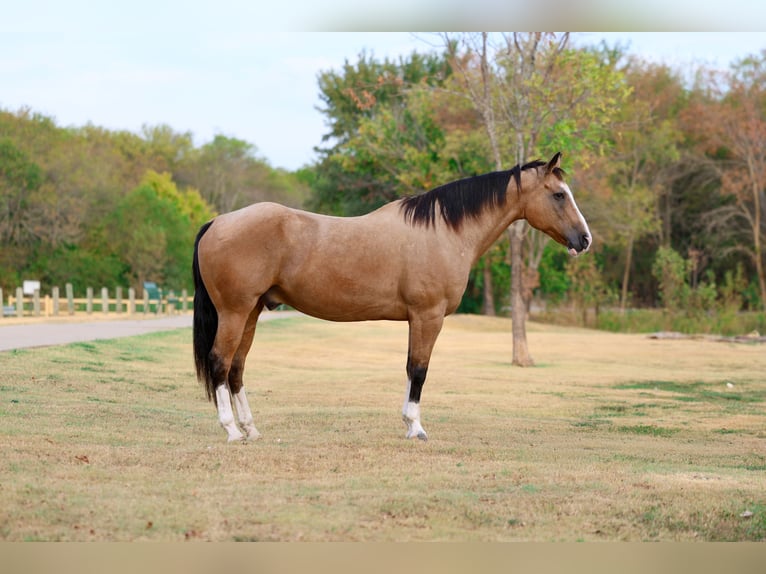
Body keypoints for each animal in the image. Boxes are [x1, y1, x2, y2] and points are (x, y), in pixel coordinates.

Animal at [192, 152, 591, 442]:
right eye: (559, 194)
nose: (585, 239)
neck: (443, 231)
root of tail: (218, 222)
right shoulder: (428, 316)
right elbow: (419, 370)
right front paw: (415, 427)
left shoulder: (418, 318)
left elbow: (411, 368)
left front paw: (408, 423)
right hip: (235, 312)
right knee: (219, 362)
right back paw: (231, 431)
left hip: (252, 312)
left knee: (237, 367)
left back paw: (251, 429)